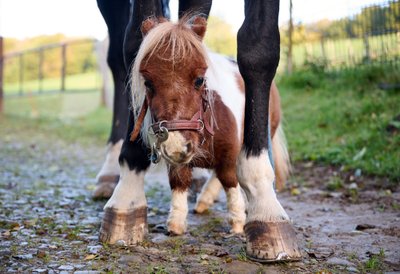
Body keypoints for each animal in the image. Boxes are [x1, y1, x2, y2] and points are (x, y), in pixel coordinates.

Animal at [108, 16, 290, 235]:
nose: (176, 146)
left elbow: (230, 181)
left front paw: (238, 222)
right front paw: (176, 224)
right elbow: (179, 183)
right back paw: (204, 200)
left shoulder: (229, 155)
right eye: (148, 83)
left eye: (199, 80)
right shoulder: (179, 162)